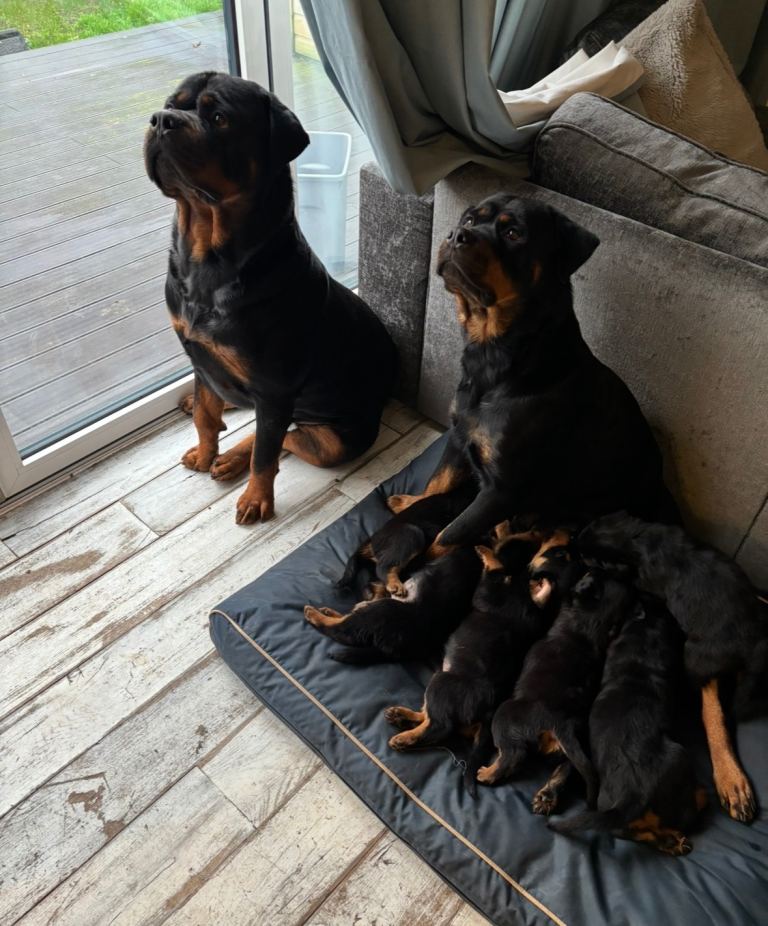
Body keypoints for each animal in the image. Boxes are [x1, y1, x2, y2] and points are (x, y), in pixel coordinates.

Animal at [144, 72, 397, 525]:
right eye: (172, 103)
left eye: (219, 117)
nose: (160, 119)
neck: (207, 257)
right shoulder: (199, 355)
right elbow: (205, 416)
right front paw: (206, 450)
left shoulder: (274, 389)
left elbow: (265, 452)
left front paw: (256, 498)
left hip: (334, 438)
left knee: (287, 438)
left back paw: (234, 459)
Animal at [387, 193, 678, 545]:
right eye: (469, 220)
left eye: (513, 233)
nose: (456, 235)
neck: (497, 354)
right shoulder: (458, 435)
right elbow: (436, 483)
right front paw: (410, 503)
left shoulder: (500, 491)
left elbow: (445, 537)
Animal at [475, 570, 639, 809]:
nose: (590, 570)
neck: (589, 626)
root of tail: (561, 724)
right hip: (572, 748)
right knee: (565, 768)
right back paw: (546, 797)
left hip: (505, 716)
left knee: (513, 755)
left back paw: (487, 773)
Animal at [550, 596, 703, 856]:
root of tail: (633, 794)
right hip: (680, 759)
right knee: (685, 815)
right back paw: (699, 800)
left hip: (608, 808)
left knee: (634, 832)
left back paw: (671, 843)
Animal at [579, 512, 768, 823]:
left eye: (591, 558)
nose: (573, 541)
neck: (639, 536)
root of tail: (753, 644)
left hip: (694, 654)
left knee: (711, 713)